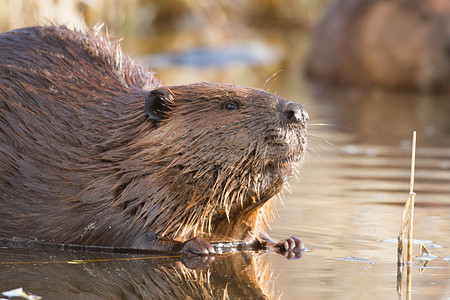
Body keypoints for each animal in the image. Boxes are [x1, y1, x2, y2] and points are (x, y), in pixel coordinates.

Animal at [0, 25, 308, 255]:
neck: (118, 153)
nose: (298, 112)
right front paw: (198, 246)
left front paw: (290, 242)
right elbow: (135, 238)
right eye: (231, 105)